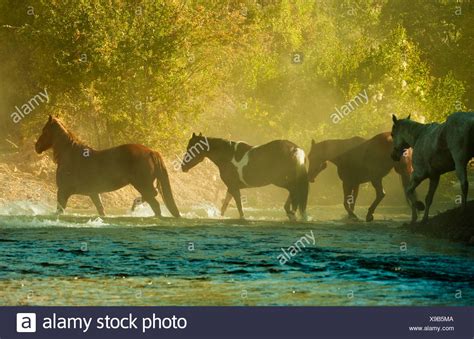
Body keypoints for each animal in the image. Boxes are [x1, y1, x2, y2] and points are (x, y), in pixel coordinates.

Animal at [34, 116, 181, 218]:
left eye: (45, 130)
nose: (37, 146)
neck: (71, 155)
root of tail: (151, 151)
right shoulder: (93, 193)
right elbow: (101, 209)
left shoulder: (63, 191)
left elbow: (59, 210)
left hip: (142, 184)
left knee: (154, 202)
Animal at [180, 134, 310, 222]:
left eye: (191, 148)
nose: (183, 167)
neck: (228, 155)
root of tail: (296, 149)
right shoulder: (231, 187)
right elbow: (225, 205)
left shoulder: (234, 187)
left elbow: (239, 206)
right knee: (295, 193)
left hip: (281, 180)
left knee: (295, 192)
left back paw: (292, 213)